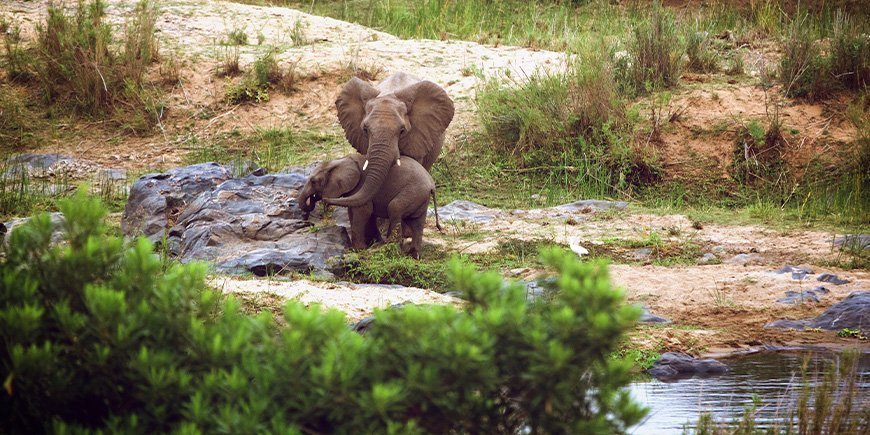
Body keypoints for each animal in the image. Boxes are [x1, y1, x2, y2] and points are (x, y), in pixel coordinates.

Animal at [297, 154, 441, 258]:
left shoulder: (361, 185)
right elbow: (354, 211)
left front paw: (358, 250)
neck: (340, 160)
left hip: (413, 192)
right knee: (417, 222)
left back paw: (388, 248)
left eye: (313, 181)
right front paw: (368, 245)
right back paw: (413, 255)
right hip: (420, 198)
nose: (318, 198)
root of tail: (432, 185)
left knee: (395, 208)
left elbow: (363, 211)